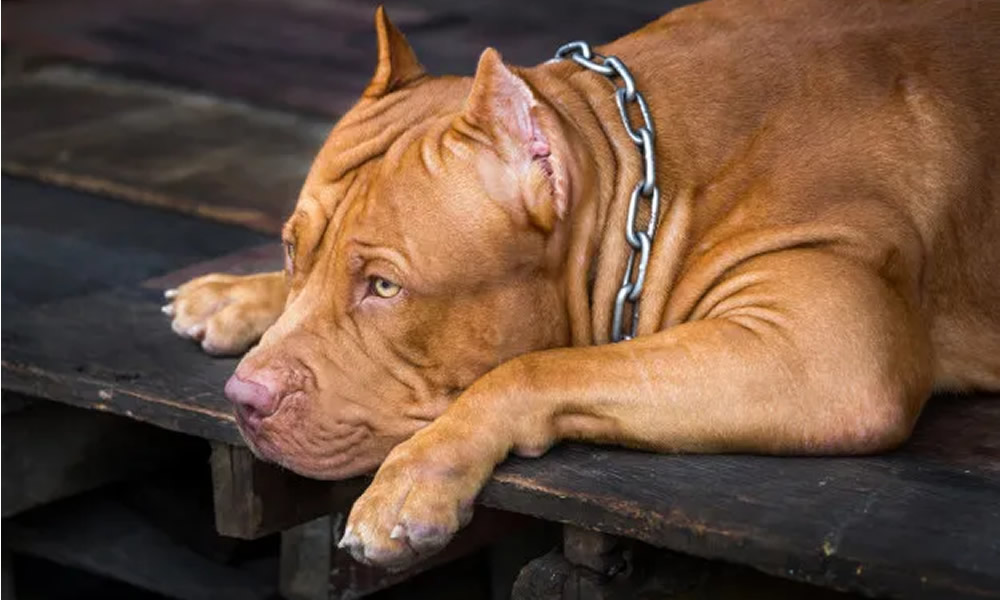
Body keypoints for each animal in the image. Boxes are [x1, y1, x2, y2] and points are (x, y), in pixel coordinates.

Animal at [164, 0, 1000, 568]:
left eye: (385, 289)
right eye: (291, 250)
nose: (245, 399)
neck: (641, 160)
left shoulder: (829, 350)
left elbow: (536, 367)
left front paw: (418, 472)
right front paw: (239, 294)